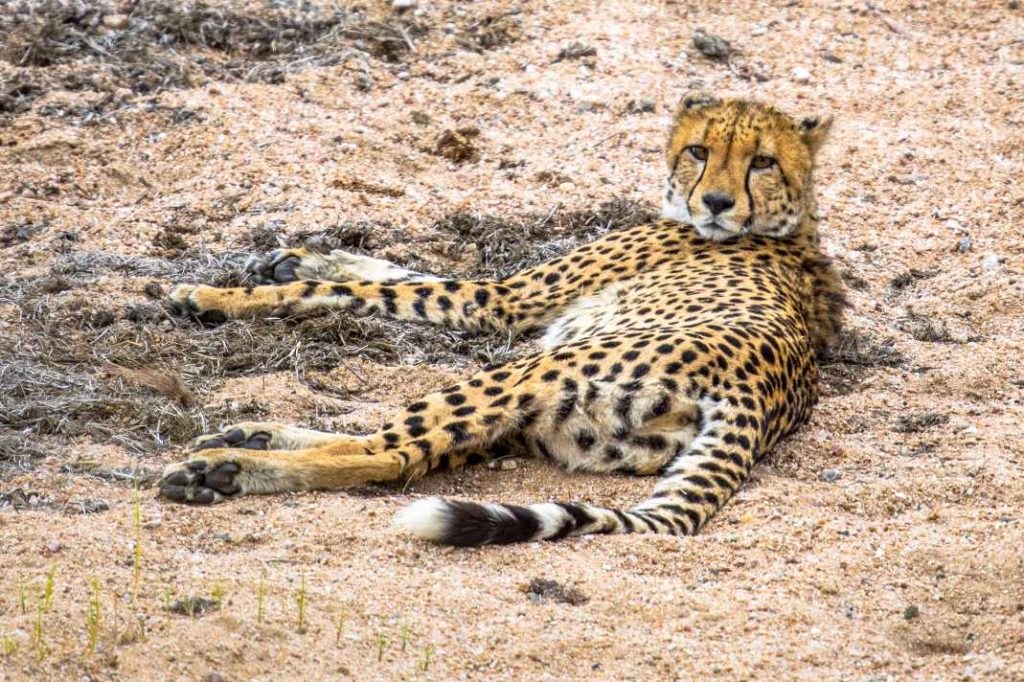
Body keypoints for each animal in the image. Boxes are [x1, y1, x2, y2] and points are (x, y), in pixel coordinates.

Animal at [158, 92, 847, 547]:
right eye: (700, 150)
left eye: (762, 161)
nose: (717, 202)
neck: (789, 226)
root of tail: (765, 395)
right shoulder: (506, 298)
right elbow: (397, 274)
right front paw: (296, 257)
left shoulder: (503, 301)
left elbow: (361, 288)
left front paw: (214, 296)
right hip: (553, 427)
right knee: (416, 446)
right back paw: (251, 438)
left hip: (529, 372)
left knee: (392, 455)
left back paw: (225, 467)